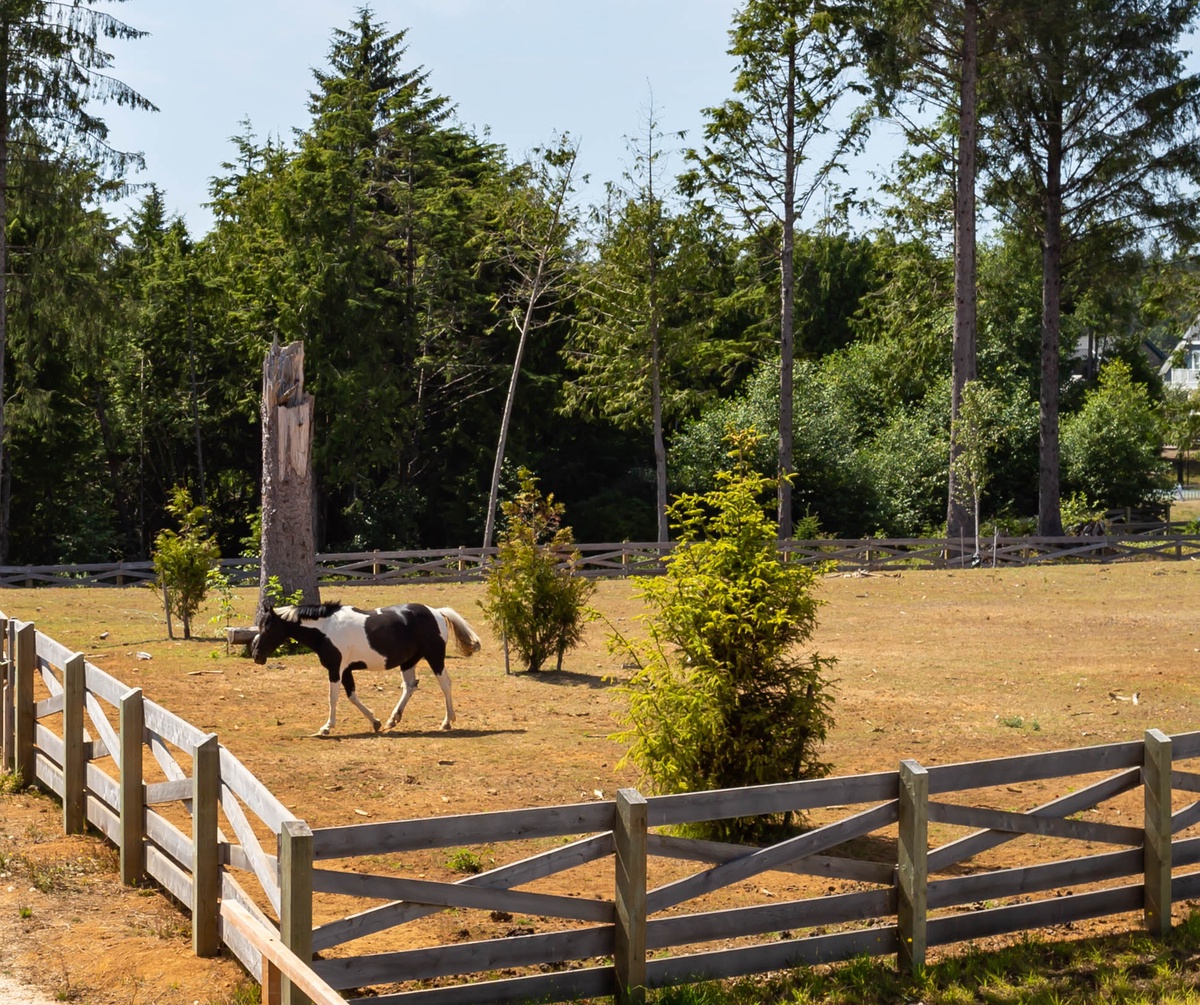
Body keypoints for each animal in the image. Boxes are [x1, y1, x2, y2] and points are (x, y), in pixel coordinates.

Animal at [250, 602, 480, 733]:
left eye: (267, 627)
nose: (256, 655)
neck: (326, 628)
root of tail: (437, 612)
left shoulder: (335, 669)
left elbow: (333, 697)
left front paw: (327, 727)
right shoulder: (346, 670)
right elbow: (352, 696)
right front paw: (376, 722)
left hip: (435, 657)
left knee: (445, 684)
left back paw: (447, 722)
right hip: (408, 661)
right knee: (410, 686)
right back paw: (392, 720)